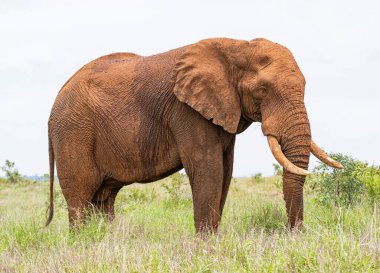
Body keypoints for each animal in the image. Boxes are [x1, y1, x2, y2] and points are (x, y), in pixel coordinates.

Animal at [46, 37, 342, 231]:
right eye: (262, 90)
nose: (294, 235)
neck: (237, 46)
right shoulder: (186, 110)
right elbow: (208, 169)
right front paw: (205, 245)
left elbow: (225, 171)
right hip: (73, 131)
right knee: (81, 197)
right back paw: (82, 242)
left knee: (103, 198)